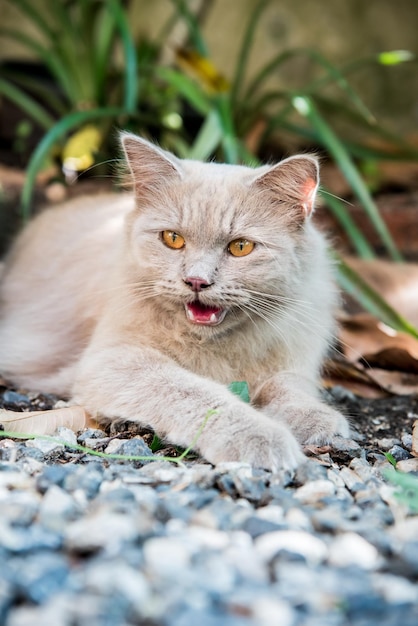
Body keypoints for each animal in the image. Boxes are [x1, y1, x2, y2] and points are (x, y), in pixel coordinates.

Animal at [0, 133, 348, 468]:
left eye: (241, 247)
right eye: (173, 239)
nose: (196, 281)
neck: (217, 347)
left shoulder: (296, 356)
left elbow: (289, 385)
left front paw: (316, 419)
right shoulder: (114, 361)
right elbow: (196, 394)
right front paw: (260, 436)